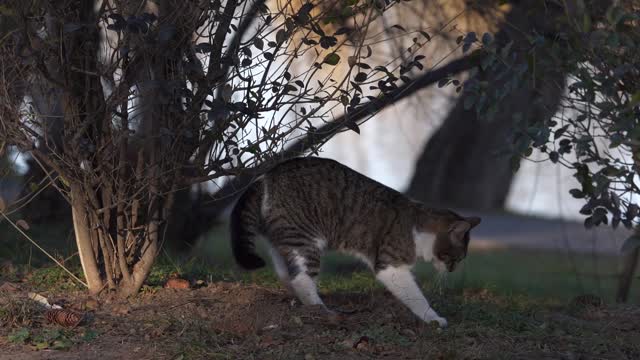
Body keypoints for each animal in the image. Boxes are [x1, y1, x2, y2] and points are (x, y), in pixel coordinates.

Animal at [230, 157, 480, 326]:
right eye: (457, 258)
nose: (453, 270)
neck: (416, 223)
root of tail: (265, 177)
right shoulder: (391, 266)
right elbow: (415, 296)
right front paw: (433, 318)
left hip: (283, 241)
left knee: (287, 274)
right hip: (305, 240)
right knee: (301, 278)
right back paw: (321, 311)